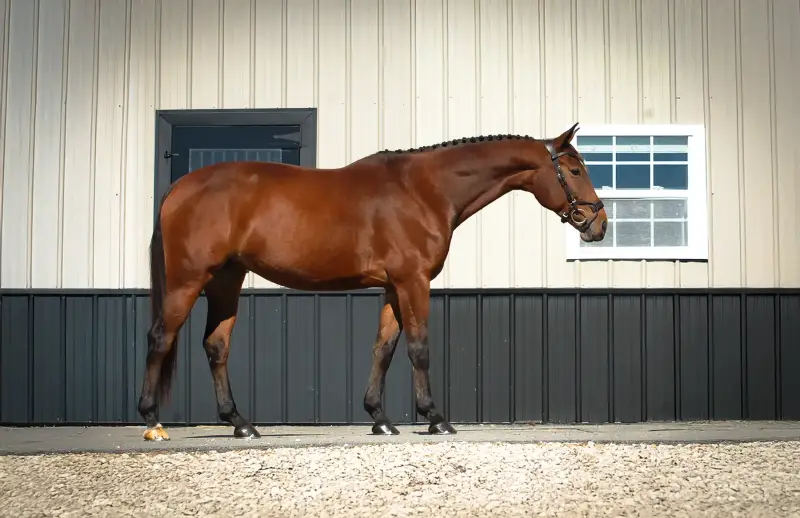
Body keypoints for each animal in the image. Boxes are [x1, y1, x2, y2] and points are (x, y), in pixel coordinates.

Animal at [137, 122, 608, 441]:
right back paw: (153, 421)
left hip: (226, 280)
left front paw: (380, 419)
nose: (598, 224)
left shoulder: (393, 286)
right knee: (160, 337)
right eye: (574, 169)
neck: (424, 189)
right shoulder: (413, 281)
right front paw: (435, 419)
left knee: (216, 345)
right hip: (188, 280)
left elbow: (385, 348)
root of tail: (181, 186)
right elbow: (418, 348)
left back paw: (241, 424)